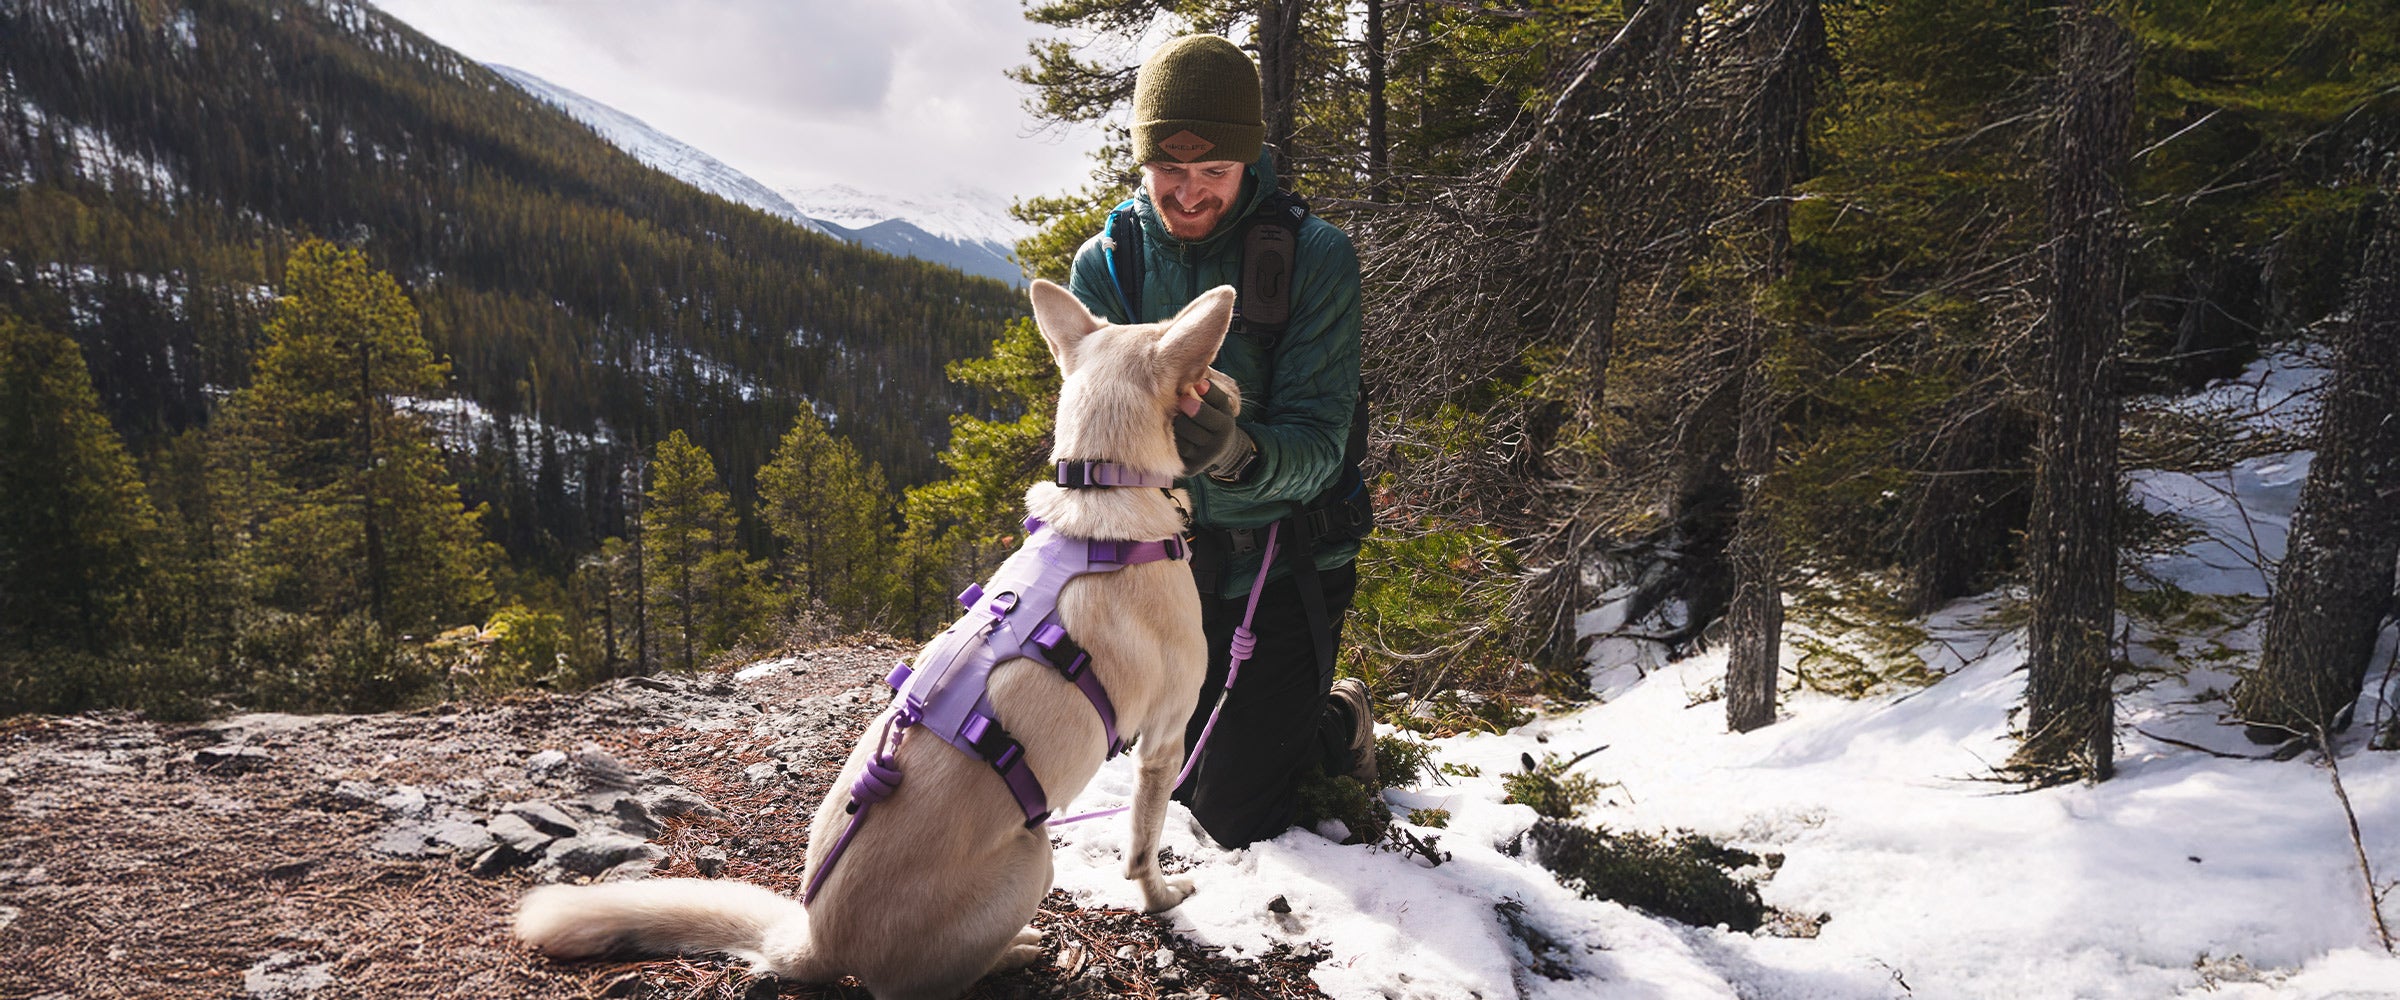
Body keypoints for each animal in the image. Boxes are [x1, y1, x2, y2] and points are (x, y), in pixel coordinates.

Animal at [518, 278, 1248, 997]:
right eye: (1207, 370)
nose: (1236, 393)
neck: (1102, 491)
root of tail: (818, 942)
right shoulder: (1165, 740)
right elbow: (1143, 848)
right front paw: (1163, 898)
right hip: (1033, 858)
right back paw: (1014, 952)